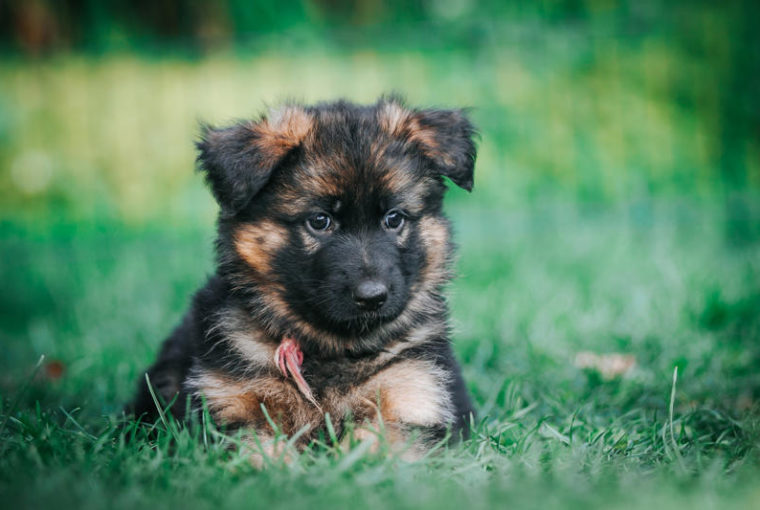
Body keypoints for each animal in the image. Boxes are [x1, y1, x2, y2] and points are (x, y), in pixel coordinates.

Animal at [129, 97, 476, 460]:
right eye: (320, 221)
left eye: (394, 218)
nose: (372, 297)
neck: (332, 346)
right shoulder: (231, 406)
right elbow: (259, 452)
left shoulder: (410, 394)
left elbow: (371, 448)